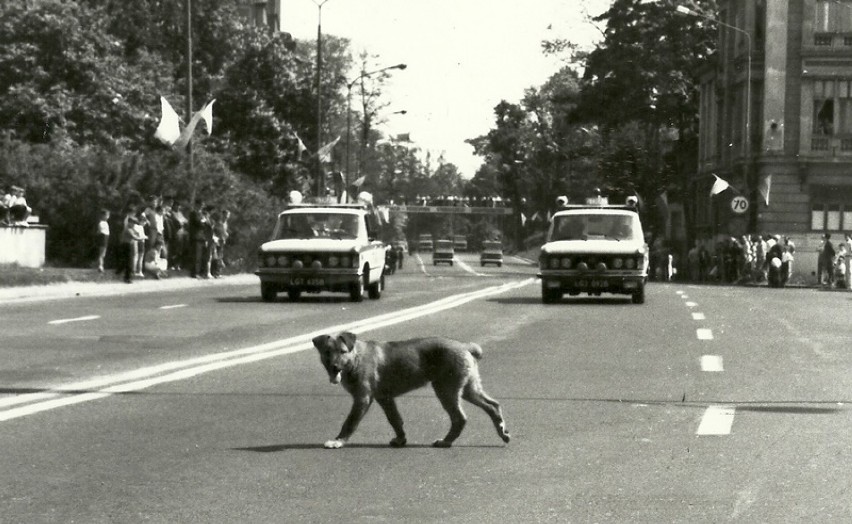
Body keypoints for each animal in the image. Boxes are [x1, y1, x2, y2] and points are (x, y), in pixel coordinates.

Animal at [312, 332, 512, 450]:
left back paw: (446, 442)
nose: (335, 367)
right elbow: (395, 420)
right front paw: (400, 440)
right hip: (469, 387)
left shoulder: (363, 398)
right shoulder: (385, 398)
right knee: (493, 405)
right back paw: (503, 432)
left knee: (460, 417)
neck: (355, 358)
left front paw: (338, 441)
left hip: (446, 389)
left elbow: (350, 422)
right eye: (327, 352)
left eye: (342, 351)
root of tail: (465, 346)